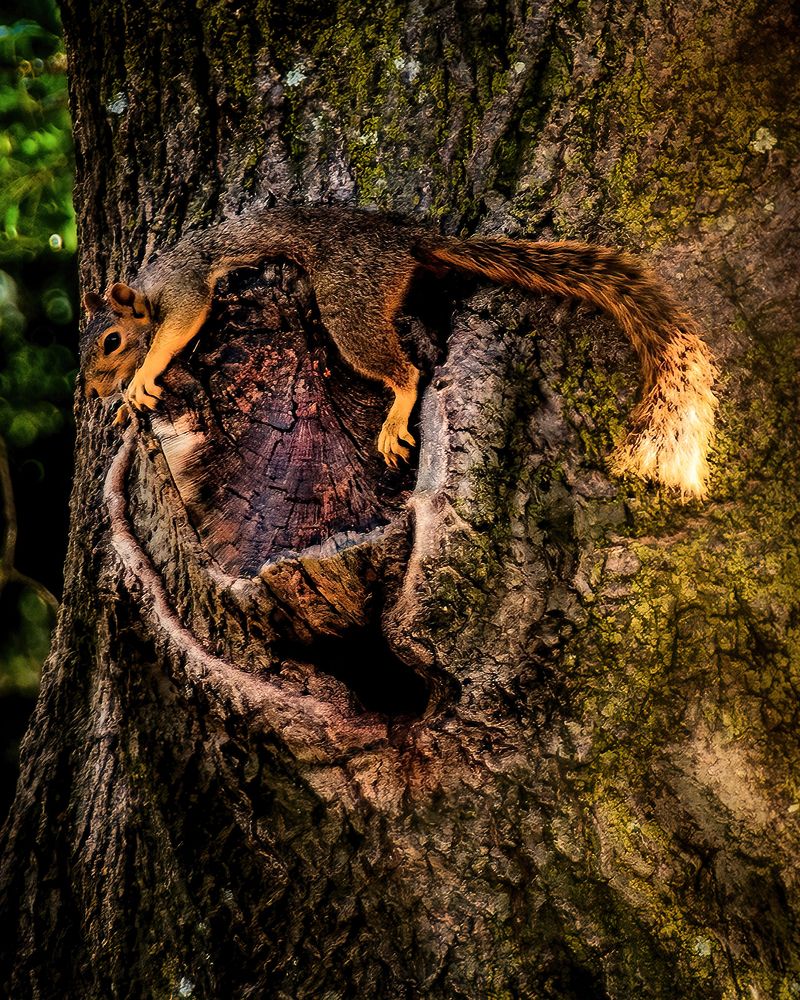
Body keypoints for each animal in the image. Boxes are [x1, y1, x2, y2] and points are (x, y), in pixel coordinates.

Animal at [81, 206, 717, 497]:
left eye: (110, 342)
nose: (90, 390)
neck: (148, 286)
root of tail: (403, 240)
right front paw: (122, 409)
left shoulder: (187, 286)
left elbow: (178, 330)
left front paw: (140, 378)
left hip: (347, 306)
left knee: (406, 370)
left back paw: (395, 416)